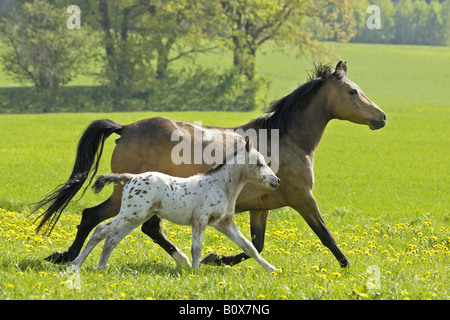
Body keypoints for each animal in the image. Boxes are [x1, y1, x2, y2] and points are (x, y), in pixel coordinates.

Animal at [68, 138, 280, 272]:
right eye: (259, 163)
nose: (276, 181)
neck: (220, 185)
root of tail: (131, 177)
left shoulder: (224, 223)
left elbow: (249, 247)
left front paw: (272, 269)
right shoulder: (200, 219)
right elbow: (197, 248)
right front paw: (195, 272)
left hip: (136, 217)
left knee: (112, 239)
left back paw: (101, 267)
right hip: (131, 214)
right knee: (101, 230)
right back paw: (75, 265)